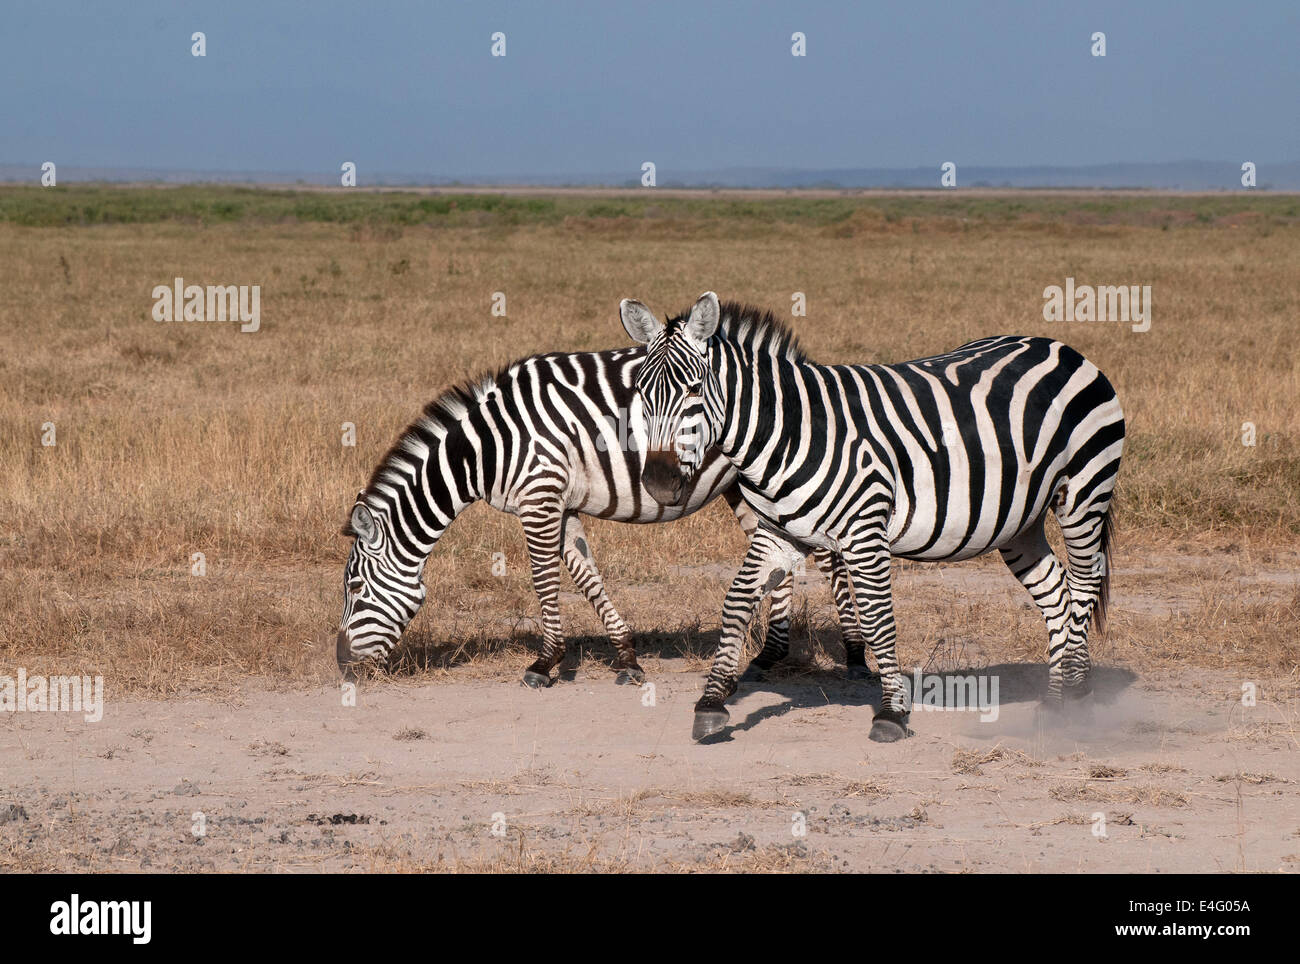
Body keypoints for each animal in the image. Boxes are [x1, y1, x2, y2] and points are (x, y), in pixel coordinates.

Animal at [335, 348, 868, 685]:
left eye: (354, 588)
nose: (340, 663)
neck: (490, 447)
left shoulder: (539, 494)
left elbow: (544, 577)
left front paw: (543, 664)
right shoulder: (561, 502)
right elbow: (584, 573)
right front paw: (627, 658)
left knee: (830, 556)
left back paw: (855, 655)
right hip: (746, 485)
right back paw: (769, 656)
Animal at [613, 294, 1123, 748]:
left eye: (694, 390)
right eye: (640, 394)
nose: (658, 483)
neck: (789, 431)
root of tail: (1059, 345)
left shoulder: (865, 533)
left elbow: (879, 620)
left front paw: (892, 712)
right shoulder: (778, 533)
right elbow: (736, 601)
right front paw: (712, 702)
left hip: (1083, 493)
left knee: (1083, 584)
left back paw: (1076, 699)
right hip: (1020, 520)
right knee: (1056, 593)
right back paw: (1057, 698)